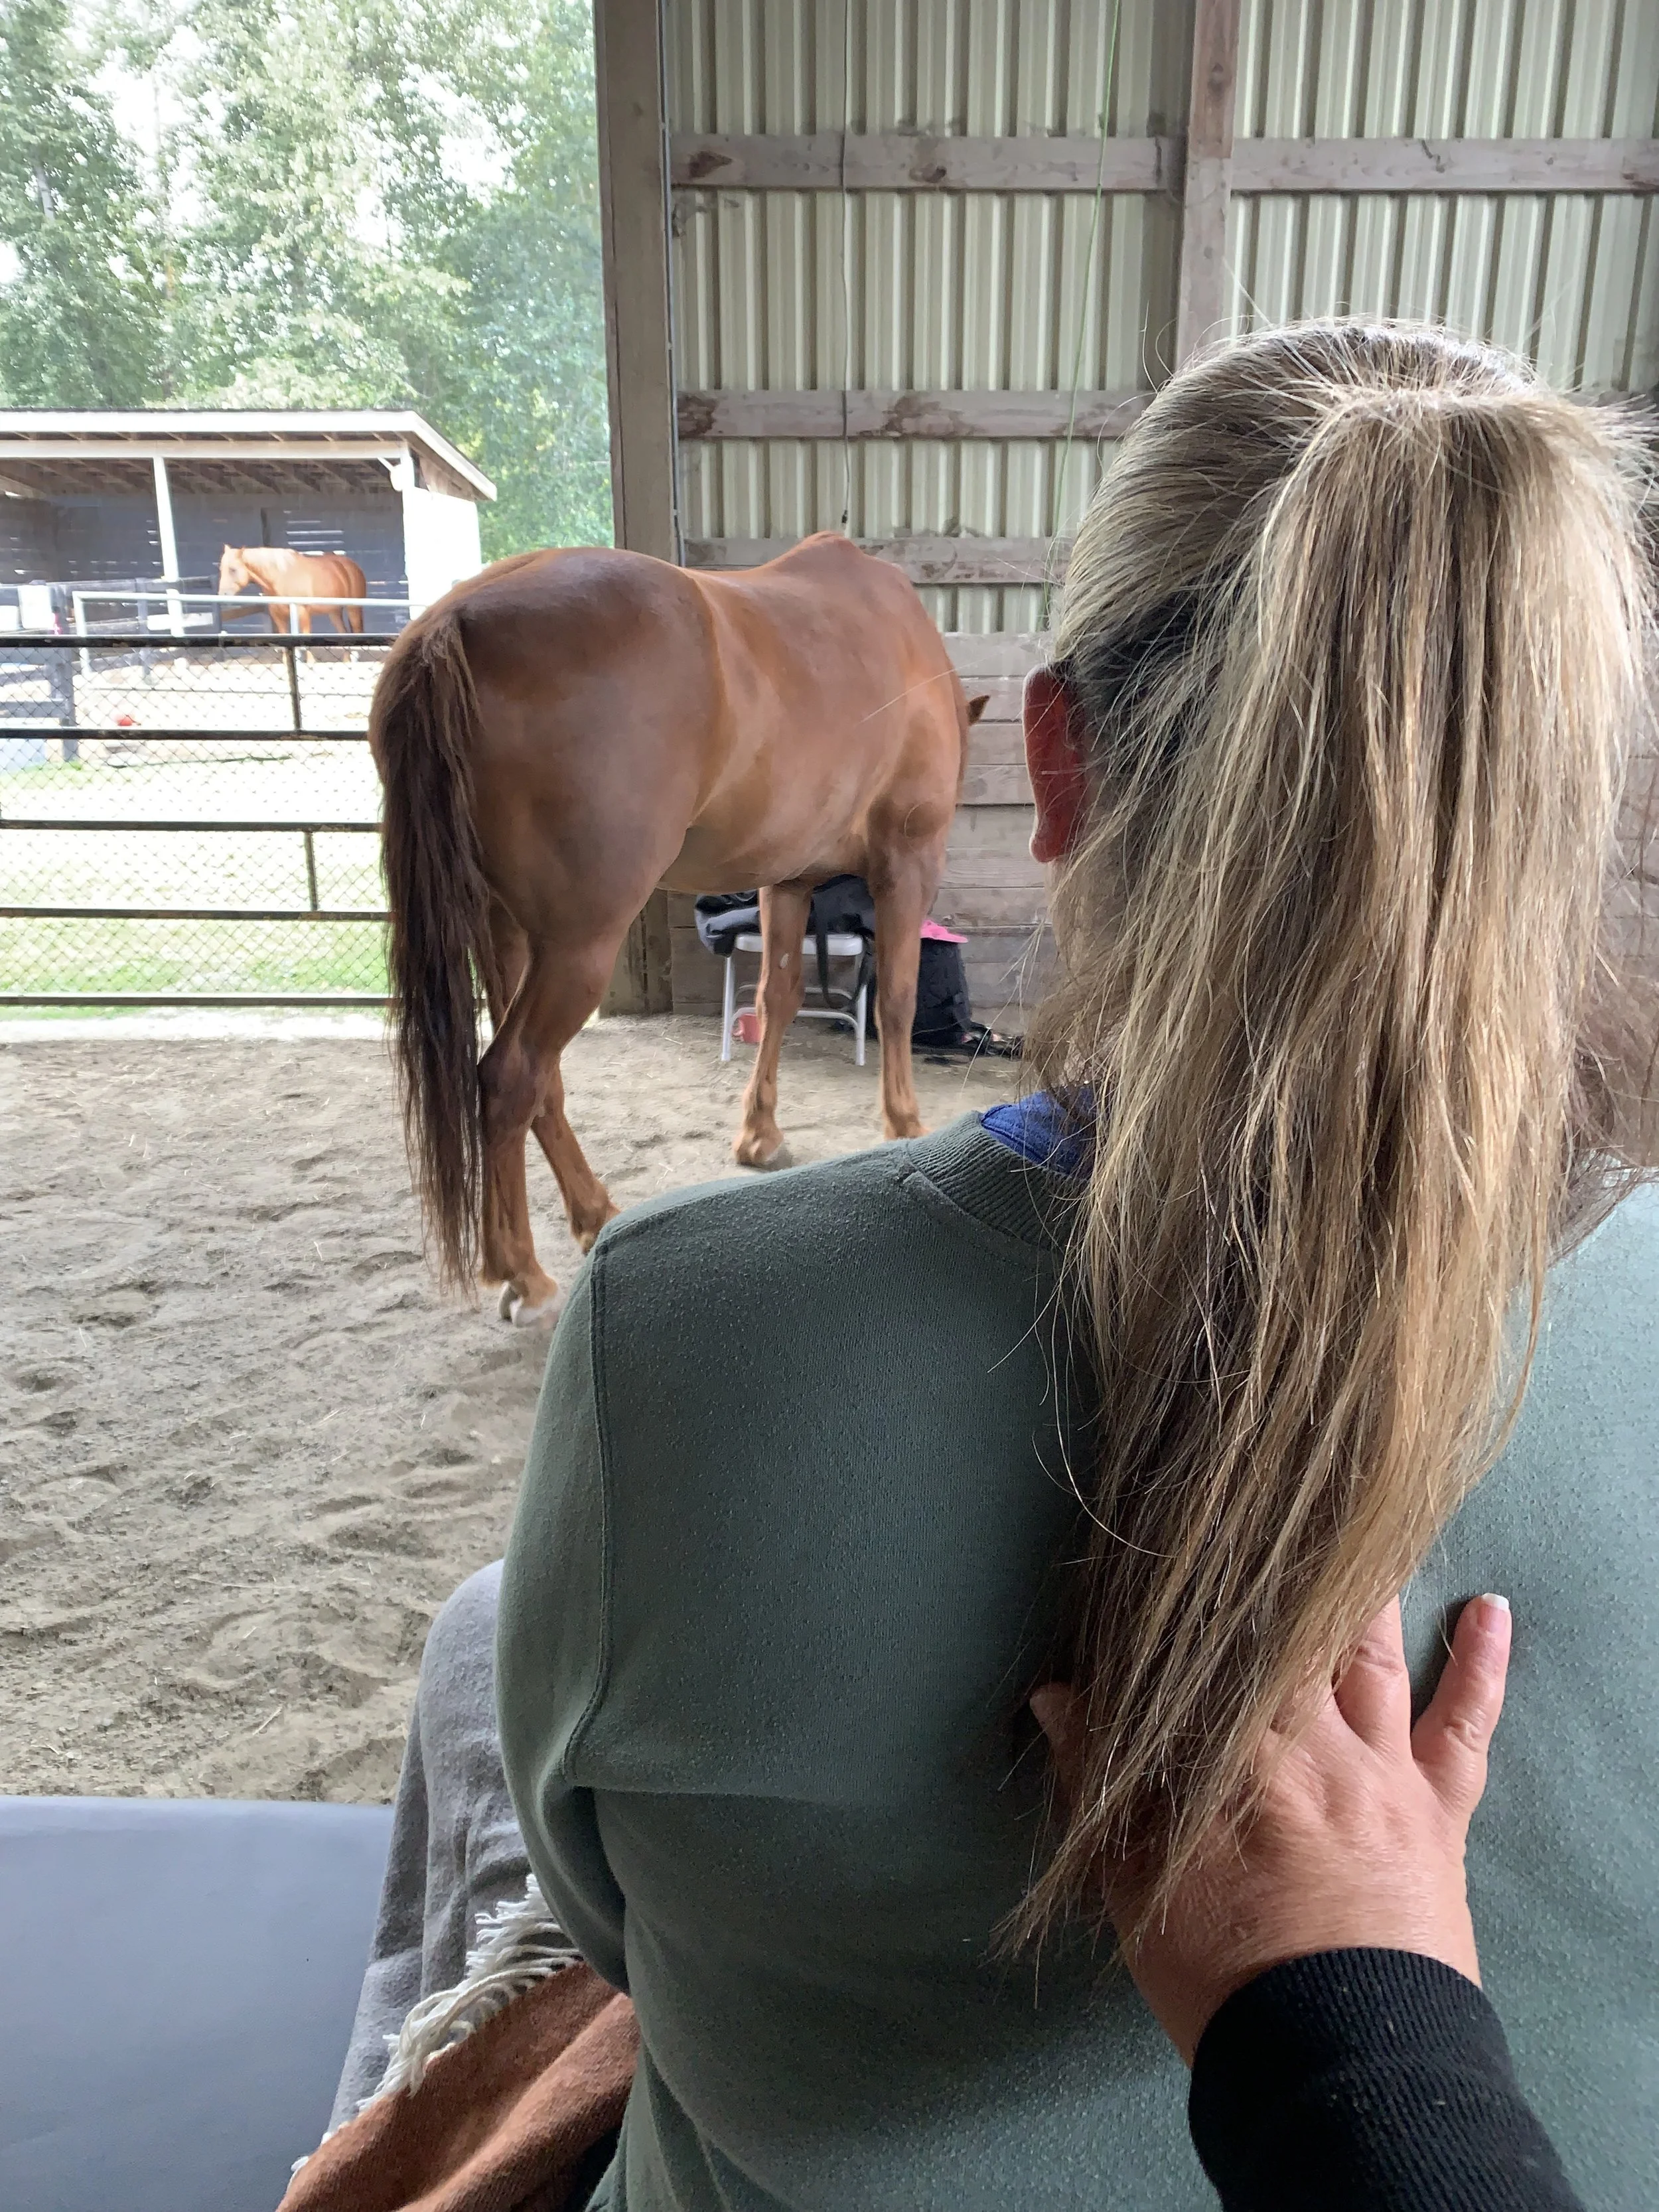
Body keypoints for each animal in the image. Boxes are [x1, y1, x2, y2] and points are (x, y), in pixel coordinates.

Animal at [217, 545, 367, 634]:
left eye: (233, 569)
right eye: (221, 569)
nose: (222, 594)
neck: (280, 576)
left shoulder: (303, 613)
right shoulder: (278, 617)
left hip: (353, 610)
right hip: (333, 612)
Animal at [371, 533, 988, 1324]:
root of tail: (454, 623)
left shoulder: (787, 880)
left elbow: (778, 1000)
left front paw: (760, 1137)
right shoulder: (906, 865)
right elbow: (898, 1000)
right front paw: (904, 1125)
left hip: (504, 933)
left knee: (540, 1086)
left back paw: (590, 1217)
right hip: (577, 944)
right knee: (510, 1077)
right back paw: (525, 1275)